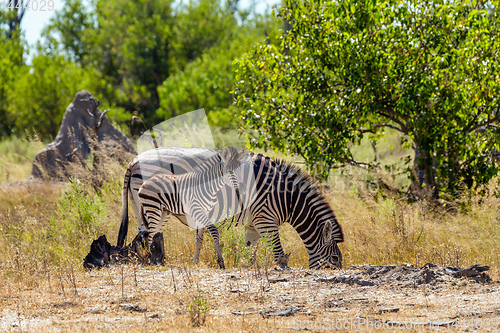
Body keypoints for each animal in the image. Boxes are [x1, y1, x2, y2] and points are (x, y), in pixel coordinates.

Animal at [117, 147, 344, 268]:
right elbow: (278, 252)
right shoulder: (266, 220)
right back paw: (151, 262)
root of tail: (133, 160)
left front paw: (250, 268)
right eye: (335, 258)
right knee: (146, 237)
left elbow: (250, 250)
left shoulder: (254, 224)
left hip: (142, 209)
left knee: (141, 237)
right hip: (156, 207)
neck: (283, 197)